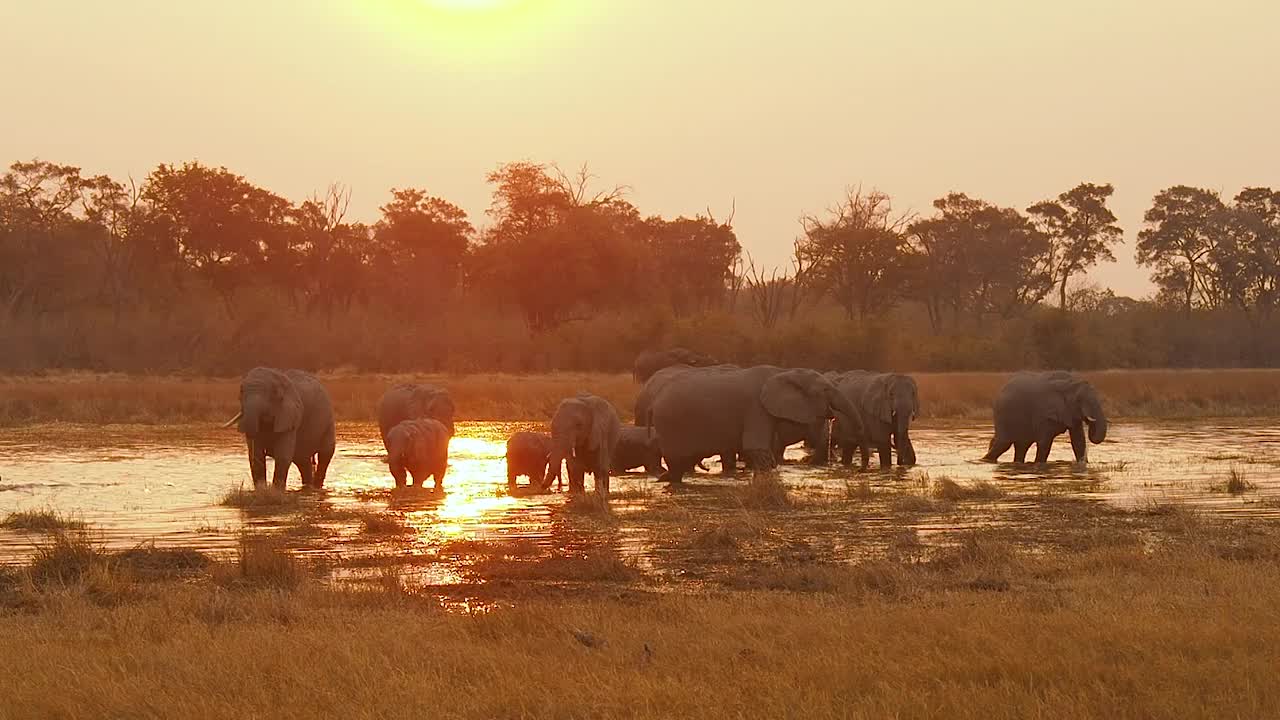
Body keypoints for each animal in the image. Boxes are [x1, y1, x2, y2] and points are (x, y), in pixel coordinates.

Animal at [645, 363, 865, 481]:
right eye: (826, 390)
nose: (861, 470)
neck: (782, 372)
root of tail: (653, 401)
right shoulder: (756, 409)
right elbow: (757, 449)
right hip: (670, 426)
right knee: (677, 461)